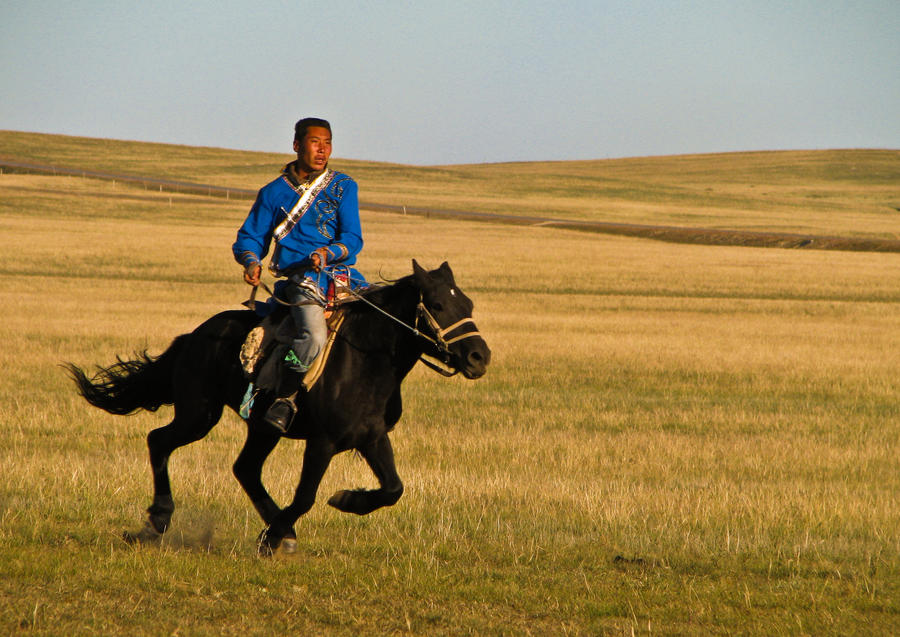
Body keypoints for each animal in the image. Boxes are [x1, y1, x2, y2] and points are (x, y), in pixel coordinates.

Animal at [65, 260, 492, 556]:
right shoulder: (322, 442)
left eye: (469, 303)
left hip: (261, 426)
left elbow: (393, 488)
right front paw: (272, 537)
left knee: (245, 468)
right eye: (437, 304)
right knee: (159, 441)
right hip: (199, 415)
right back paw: (159, 518)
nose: (479, 357)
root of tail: (194, 336)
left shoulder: (370, 437)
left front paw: (345, 501)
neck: (364, 361)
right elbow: (306, 497)